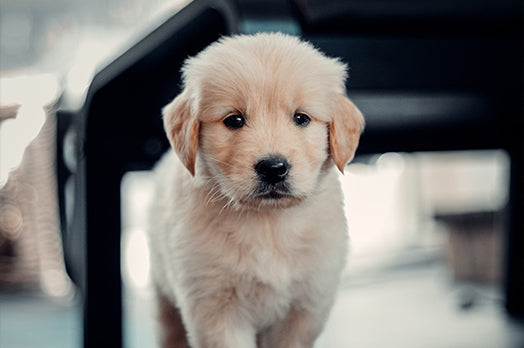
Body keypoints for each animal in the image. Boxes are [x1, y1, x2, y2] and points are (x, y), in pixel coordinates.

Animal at [148, 33, 364, 348]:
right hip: (165, 300)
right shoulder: (214, 308)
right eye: (234, 120)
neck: (268, 223)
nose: (273, 168)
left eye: (301, 118)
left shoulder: (305, 308)